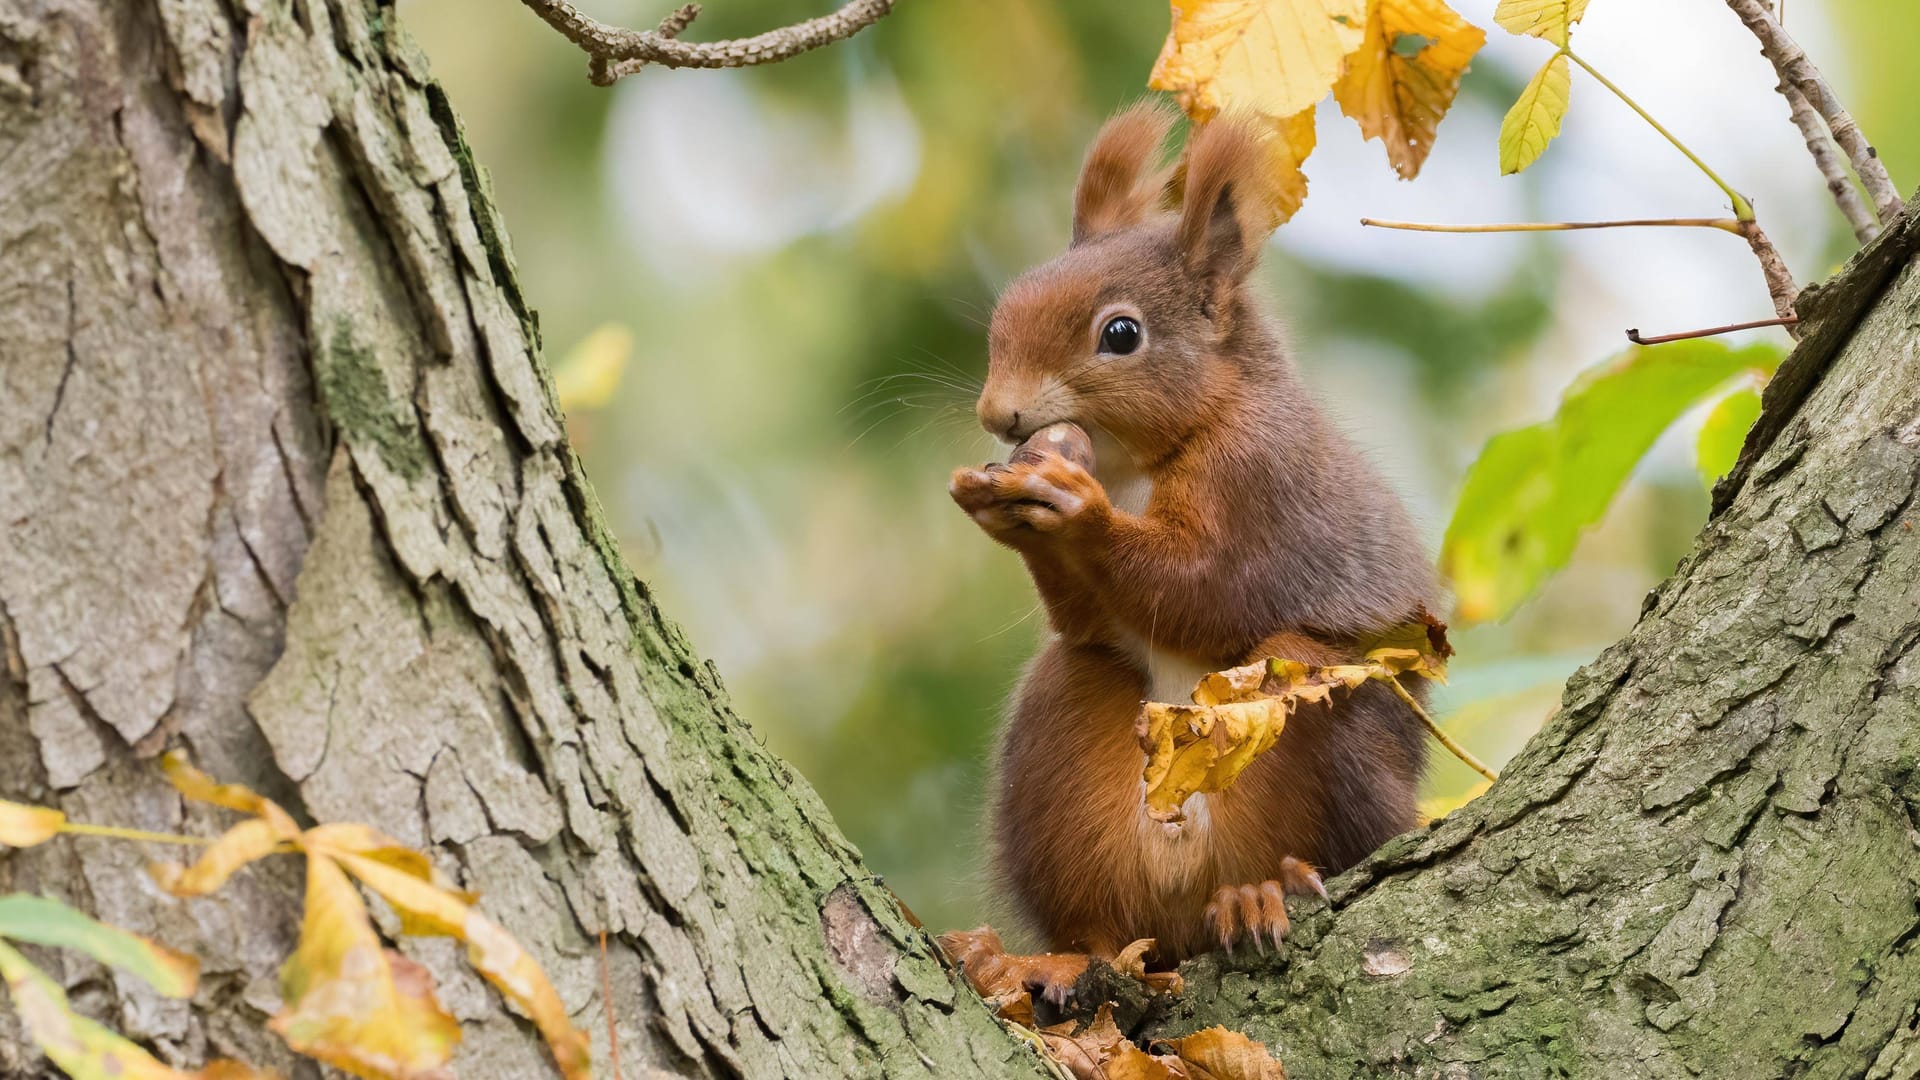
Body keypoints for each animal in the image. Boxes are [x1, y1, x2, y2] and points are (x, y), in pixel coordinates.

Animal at [952, 102, 1436, 957]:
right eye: (1008, 308)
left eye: (1121, 334)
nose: (998, 413)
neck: (1130, 465)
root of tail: (1186, 887)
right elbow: (1089, 617)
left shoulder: (1264, 483)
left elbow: (1211, 592)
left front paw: (1077, 514)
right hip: (1061, 746)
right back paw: (1077, 957)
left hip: (1335, 727)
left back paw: (1265, 891)